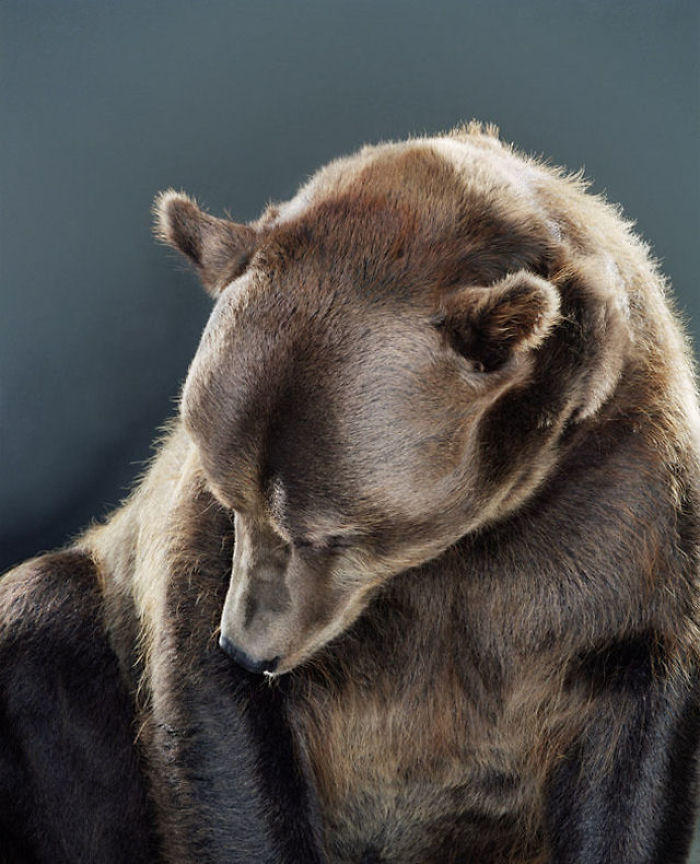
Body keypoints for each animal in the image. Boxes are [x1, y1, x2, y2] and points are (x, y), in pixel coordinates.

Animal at [1, 121, 699, 864]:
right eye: (232, 497)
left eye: (329, 534)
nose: (246, 647)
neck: (467, 539)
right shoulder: (197, 563)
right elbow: (222, 737)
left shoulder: (621, 518)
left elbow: (631, 753)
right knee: (45, 616)